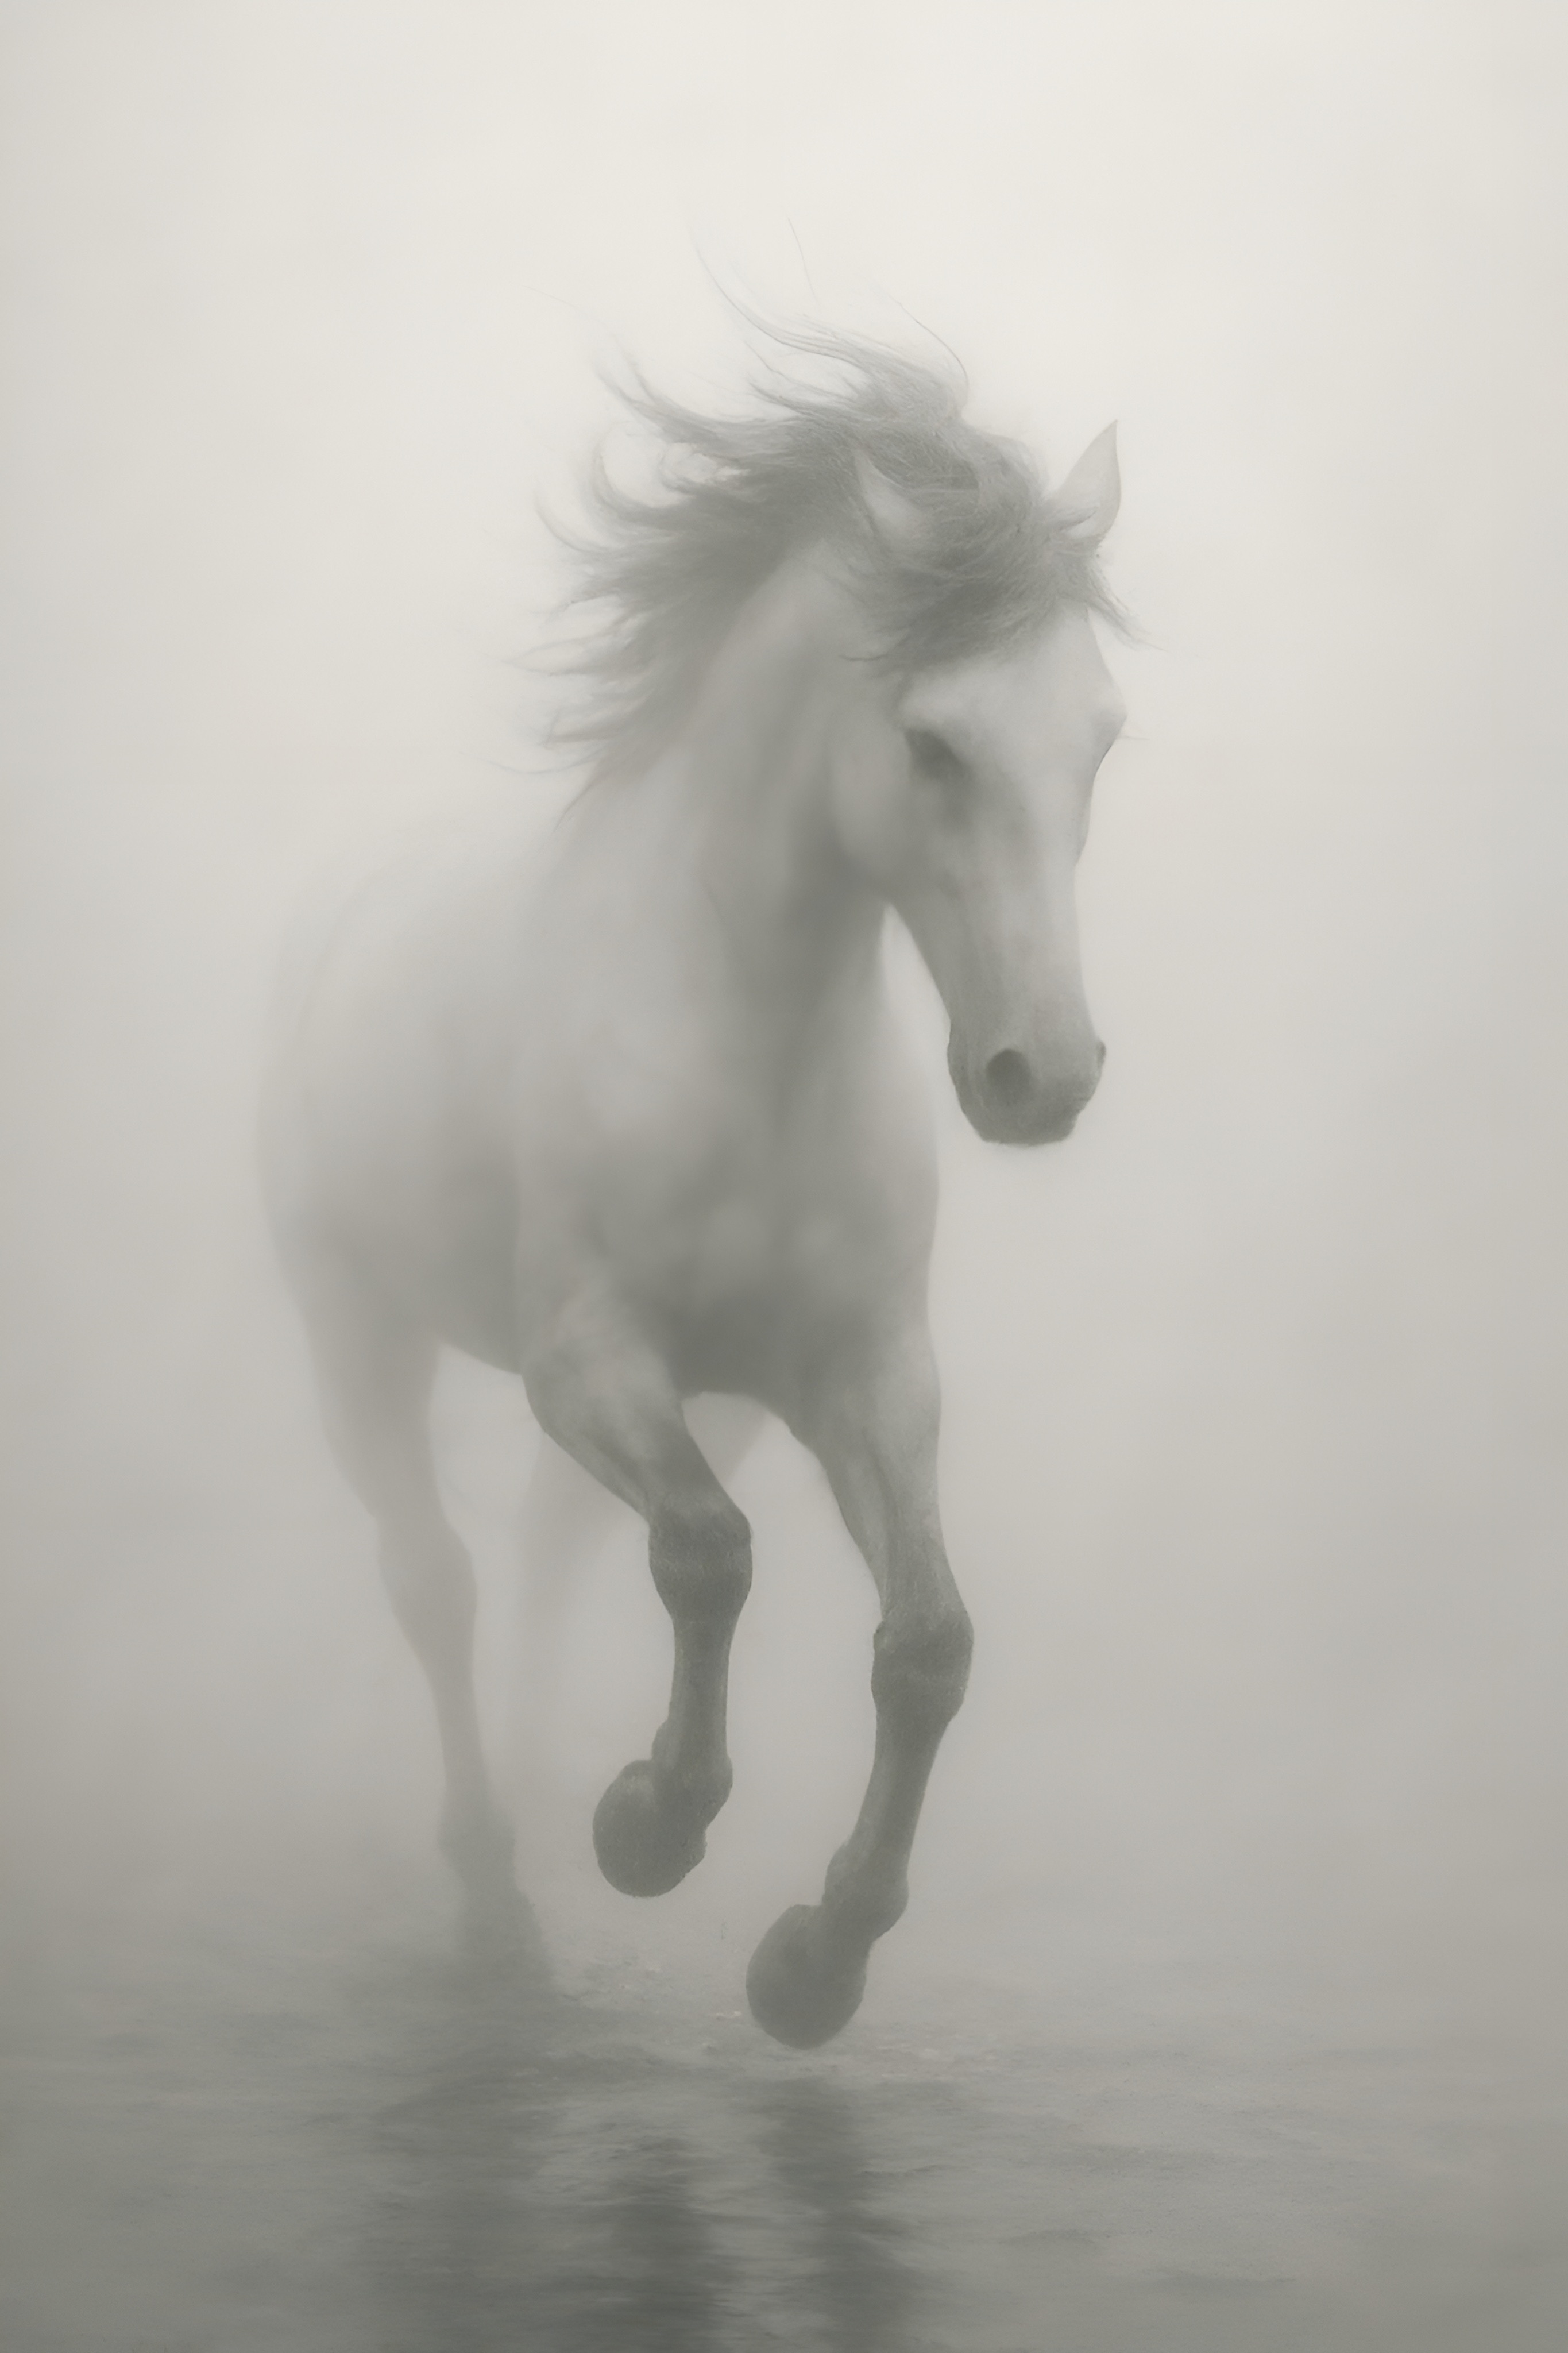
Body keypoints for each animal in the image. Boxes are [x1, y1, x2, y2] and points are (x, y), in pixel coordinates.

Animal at [260, 326, 1126, 2048]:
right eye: (932, 742)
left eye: (1101, 740)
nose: (1043, 1076)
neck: (749, 1044)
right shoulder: (587, 1361)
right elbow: (712, 1559)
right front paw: (650, 1825)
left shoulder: (865, 1374)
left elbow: (930, 1643)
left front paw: (815, 1958)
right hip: (354, 1329)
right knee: (438, 1585)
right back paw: (497, 1895)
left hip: (714, 1397)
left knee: (542, 1561)